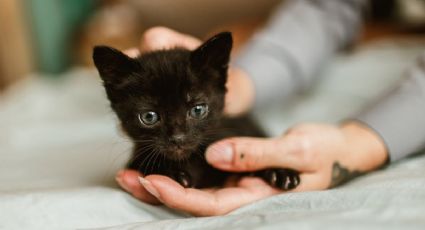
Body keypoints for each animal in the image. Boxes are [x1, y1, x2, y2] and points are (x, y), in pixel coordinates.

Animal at [93, 31, 298, 190]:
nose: (178, 138)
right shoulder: (135, 157)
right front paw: (171, 173)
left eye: (198, 110)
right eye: (149, 117)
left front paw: (280, 171)